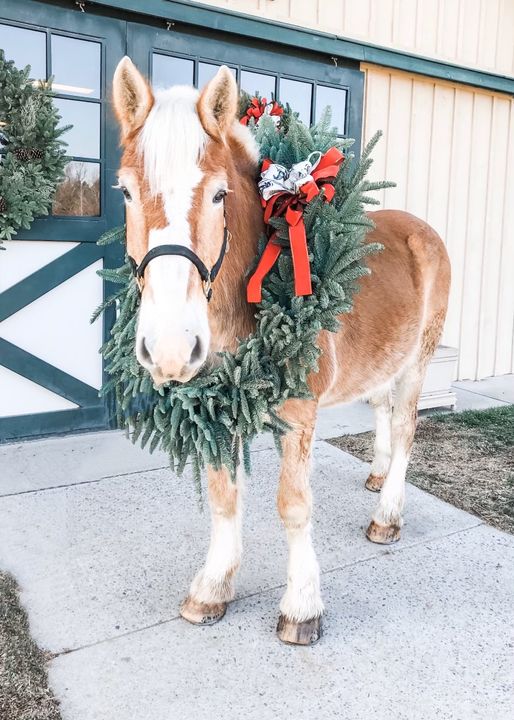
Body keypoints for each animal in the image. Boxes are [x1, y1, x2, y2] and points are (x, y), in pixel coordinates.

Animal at [111, 57, 448, 648]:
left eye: (220, 195)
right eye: (127, 192)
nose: (171, 348)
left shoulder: (298, 416)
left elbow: (293, 505)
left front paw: (302, 607)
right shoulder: (215, 407)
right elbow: (223, 497)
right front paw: (212, 587)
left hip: (418, 359)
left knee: (407, 426)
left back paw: (387, 515)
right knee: (382, 411)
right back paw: (378, 474)